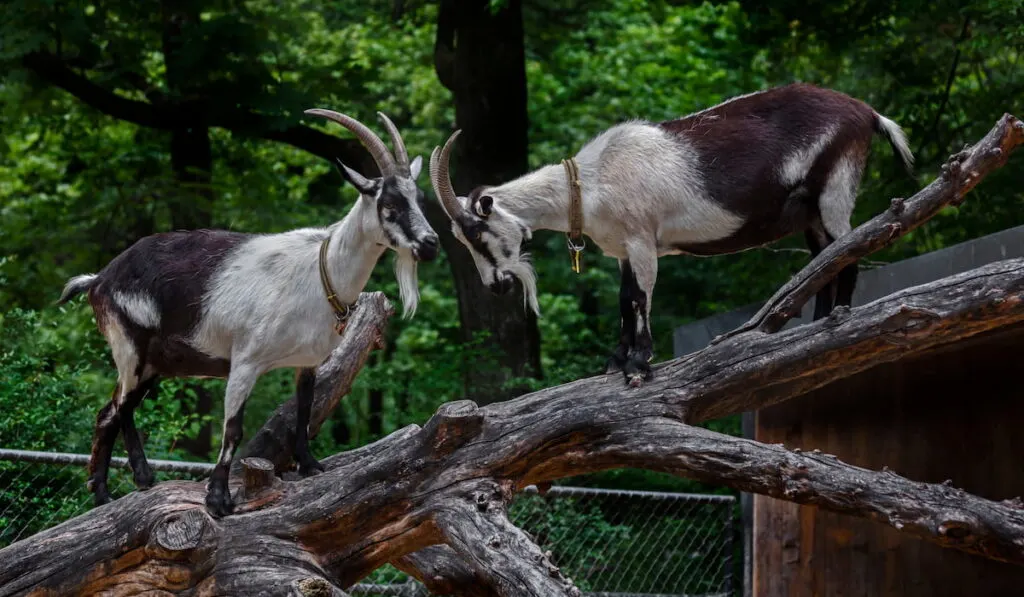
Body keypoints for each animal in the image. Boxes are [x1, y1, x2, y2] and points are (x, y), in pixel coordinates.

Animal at [58, 109, 438, 516]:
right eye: (390, 206)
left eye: (421, 200)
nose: (430, 244)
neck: (320, 270)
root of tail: (100, 278)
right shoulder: (245, 360)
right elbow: (232, 428)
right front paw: (218, 498)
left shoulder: (308, 362)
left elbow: (303, 411)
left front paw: (309, 465)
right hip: (129, 346)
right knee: (121, 407)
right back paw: (133, 482)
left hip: (153, 364)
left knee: (109, 412)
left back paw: (108, 493)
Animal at [428, 82, 917, 387]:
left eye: (476, 231)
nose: (497, 285)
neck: (590, 180)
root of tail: (867, 114)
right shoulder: (622, 250)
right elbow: (624, 299)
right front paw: (616, 361)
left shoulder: (642, 239)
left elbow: (641, 298)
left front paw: (639, 366)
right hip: (809, 213)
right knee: (822, 259)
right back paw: (815, 324)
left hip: (835, 185)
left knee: (846, 251)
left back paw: (839, 318)